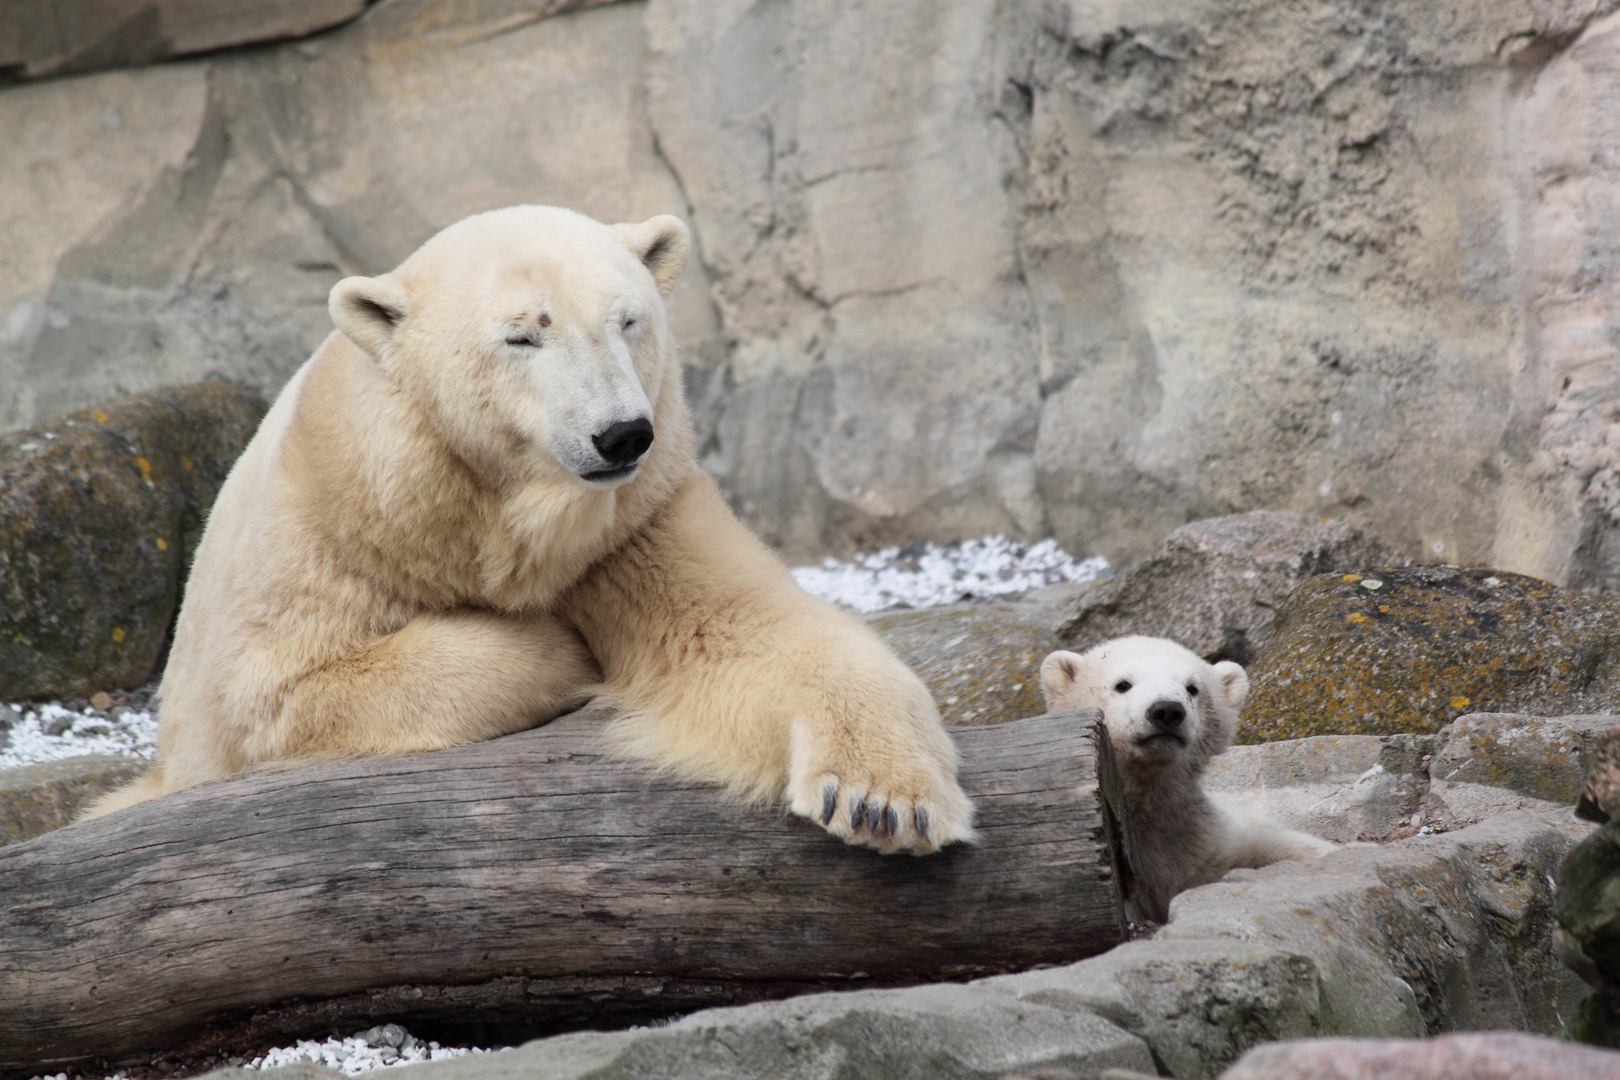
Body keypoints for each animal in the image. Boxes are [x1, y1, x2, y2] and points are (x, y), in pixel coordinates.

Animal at [88, 207, 965, 854]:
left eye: (628, 320)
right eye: (522, 334)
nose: (621, 435)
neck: (486, 512)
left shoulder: (637, 521)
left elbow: (747, 630)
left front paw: (886, 799)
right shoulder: (334, 529)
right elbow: (279, 695)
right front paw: (562, 649)